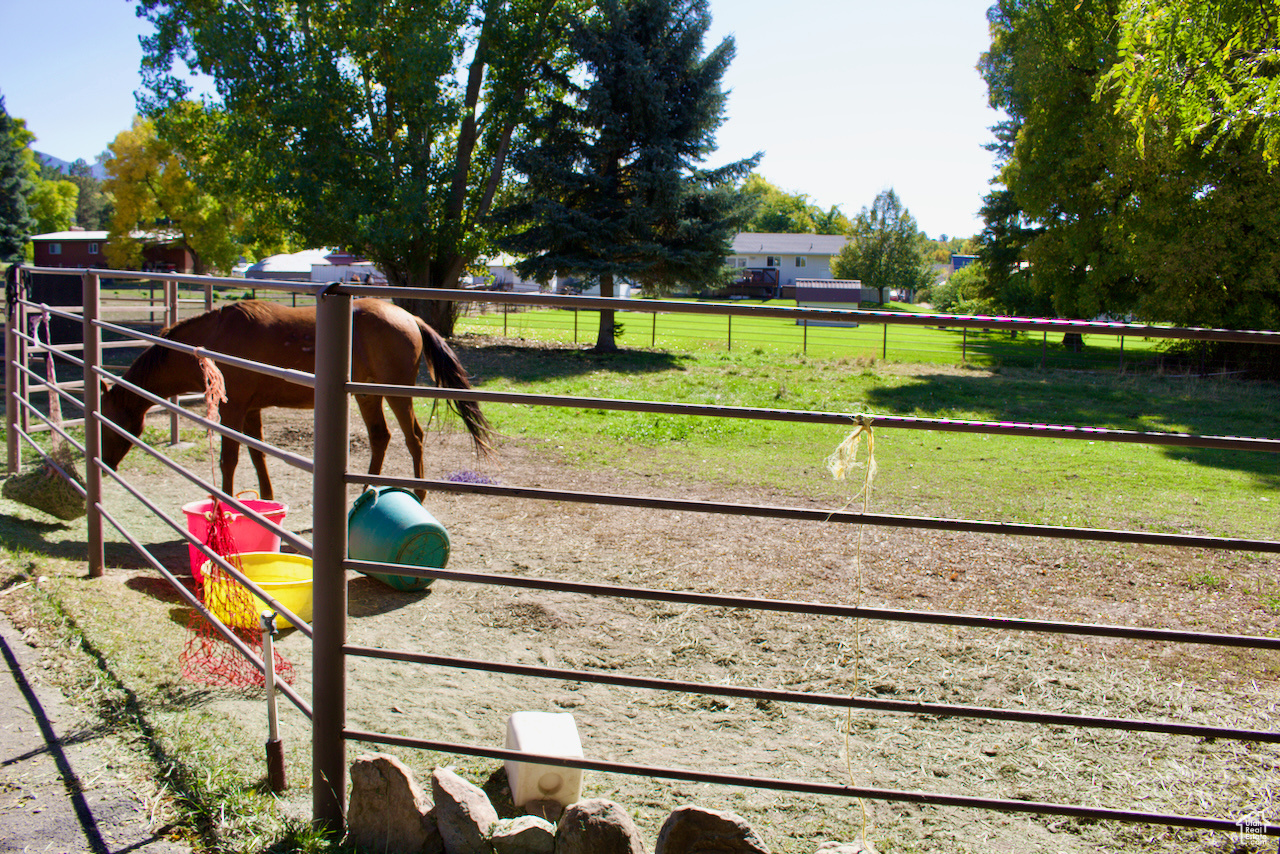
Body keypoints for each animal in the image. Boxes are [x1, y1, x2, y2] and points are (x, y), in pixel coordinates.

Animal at [101, 299, 494, 501]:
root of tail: (409, 317)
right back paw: (364, 490)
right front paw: (266, 500)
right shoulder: (251, 410)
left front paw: (225, 504)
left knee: (414, 438)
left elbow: (230, 459)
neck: (213, 339)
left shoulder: (234, 409)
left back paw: (419, 494)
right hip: (367, 395)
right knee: (380, 438)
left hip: (397, 395)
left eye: (109, 424)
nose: (104, 464)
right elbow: (257, 454)